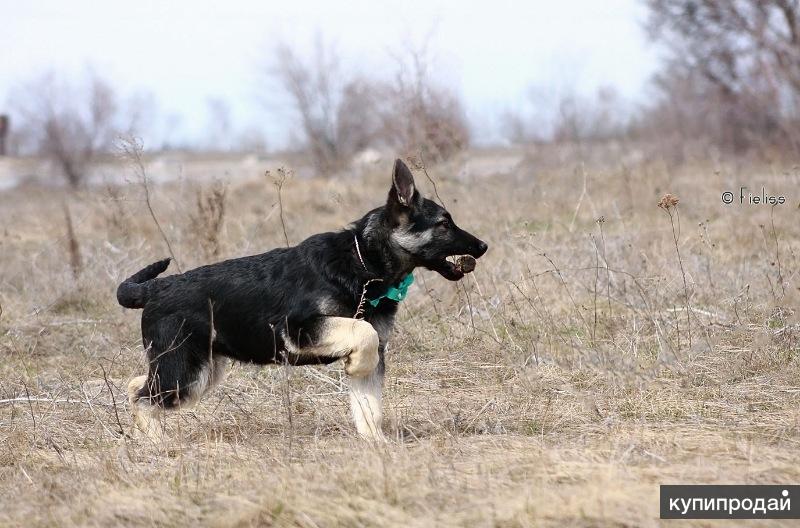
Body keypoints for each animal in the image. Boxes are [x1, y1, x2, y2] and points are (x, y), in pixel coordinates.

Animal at [119, 160, 488, 442]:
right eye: (444, 224)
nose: (483, 246)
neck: (362, 263)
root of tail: (157, 288)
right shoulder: (300, 328)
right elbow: (363, 335)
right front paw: (356, 365)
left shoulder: (372, 353)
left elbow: (369, 406)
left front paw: (377, 443)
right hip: (184, 374)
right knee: (143, 399)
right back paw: (157, 444)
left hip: (196, 373)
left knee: (136, 386)